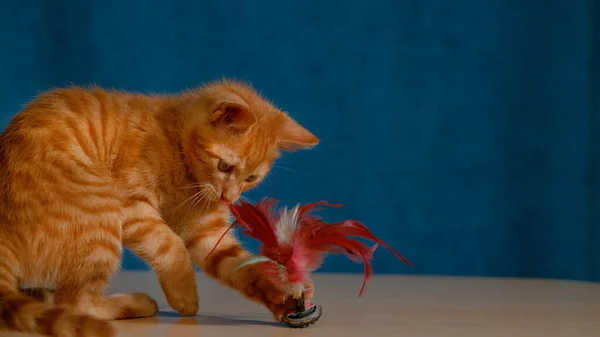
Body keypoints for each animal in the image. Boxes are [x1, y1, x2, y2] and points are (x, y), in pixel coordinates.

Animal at [0, 78, 318, 334]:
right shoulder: (130, 204)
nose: (229, 198)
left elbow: (239, 263)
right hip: (100, 212)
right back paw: (135, 303)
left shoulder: (208, 233)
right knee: (76, 303)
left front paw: (282, 289)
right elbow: (171, 244)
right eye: (224, 166)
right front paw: (184, 293)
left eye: (251, 178)